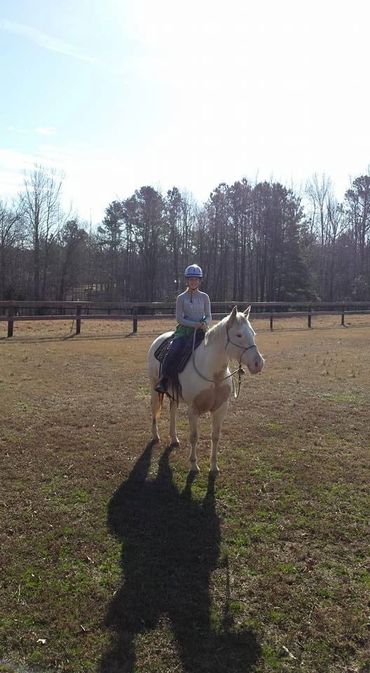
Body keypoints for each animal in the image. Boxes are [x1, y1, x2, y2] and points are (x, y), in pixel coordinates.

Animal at [146, 304, 264, 472]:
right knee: (155, 408)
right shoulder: (193, 409)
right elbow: (194, 436)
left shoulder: (221, 408)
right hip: (154, 386)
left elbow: (215, 436)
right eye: (239, 335)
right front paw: (194, 465)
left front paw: (214, 466)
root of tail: (160, 339)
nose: (258, 363)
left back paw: (174, 438)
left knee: (173, 410)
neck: (213, 374)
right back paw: (156, 436)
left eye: (253, 333)